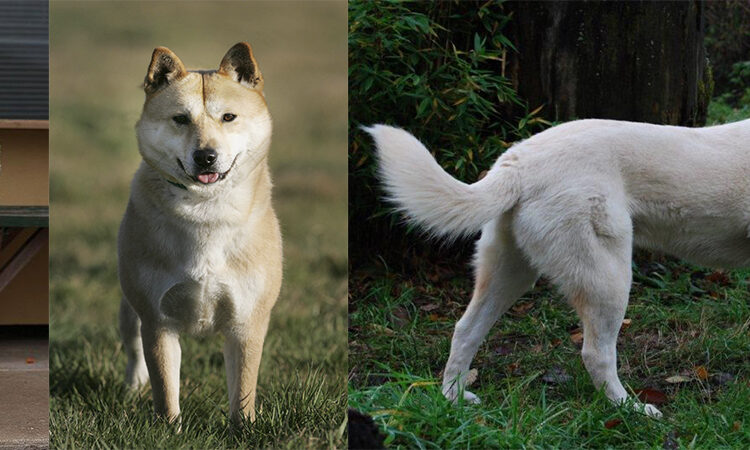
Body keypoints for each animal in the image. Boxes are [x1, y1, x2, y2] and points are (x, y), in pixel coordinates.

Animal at [117, 40, 282, 424]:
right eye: (180, 119)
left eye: (228, 117)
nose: (206, 156)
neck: (206, 215)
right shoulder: (157, 321)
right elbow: (165, 390)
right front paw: (168, 429)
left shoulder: (247, 322)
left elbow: (243, 390)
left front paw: (243, 429)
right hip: (129, 309)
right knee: (133, 348)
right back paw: (133, 387)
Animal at [370, 118, 750, 416]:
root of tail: (518, 162)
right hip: (608, 279)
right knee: (596, 354)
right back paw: (631, 410)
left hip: (510, 273)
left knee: (465, 330)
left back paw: (454, 397)